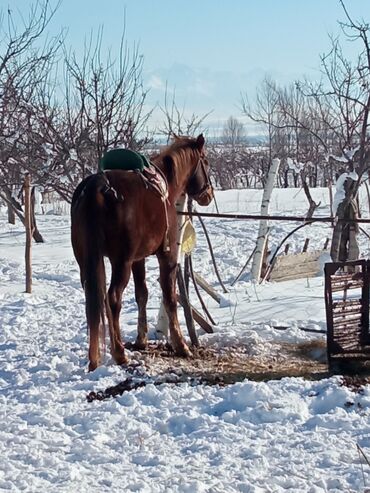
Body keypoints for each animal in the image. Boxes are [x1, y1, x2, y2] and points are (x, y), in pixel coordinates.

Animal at [71, 134, 214, 368]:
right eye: (206, 162)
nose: (208, 194)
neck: (167, 186)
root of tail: (99, 188)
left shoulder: (138, 259)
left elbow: (142, 295)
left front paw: (141, 339)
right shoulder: (166, 257)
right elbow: (169, 298)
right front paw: (181, 345)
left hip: (88, 262)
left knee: (94, 301)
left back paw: (95, 358)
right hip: (121, 262)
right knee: (113, 298)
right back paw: (119, 353)